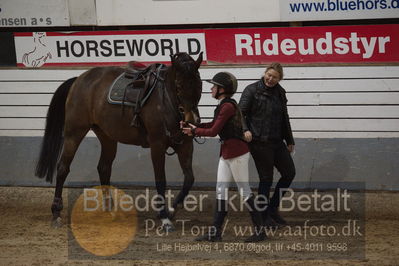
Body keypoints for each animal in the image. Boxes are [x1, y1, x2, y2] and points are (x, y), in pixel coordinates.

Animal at [34, 52, 203, 231]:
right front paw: (164, 218)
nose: (193, 120)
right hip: (74, 133)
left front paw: (171, 211)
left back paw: (110, 210)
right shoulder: (157, 145)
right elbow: (161, 180)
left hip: (106, 137)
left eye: (199, 84)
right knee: (62, 168)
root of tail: (78, 80)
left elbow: (189, 178)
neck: (165, 101)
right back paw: (56, 213)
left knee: (103, 168)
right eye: (178, 86)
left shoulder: (185, 145)